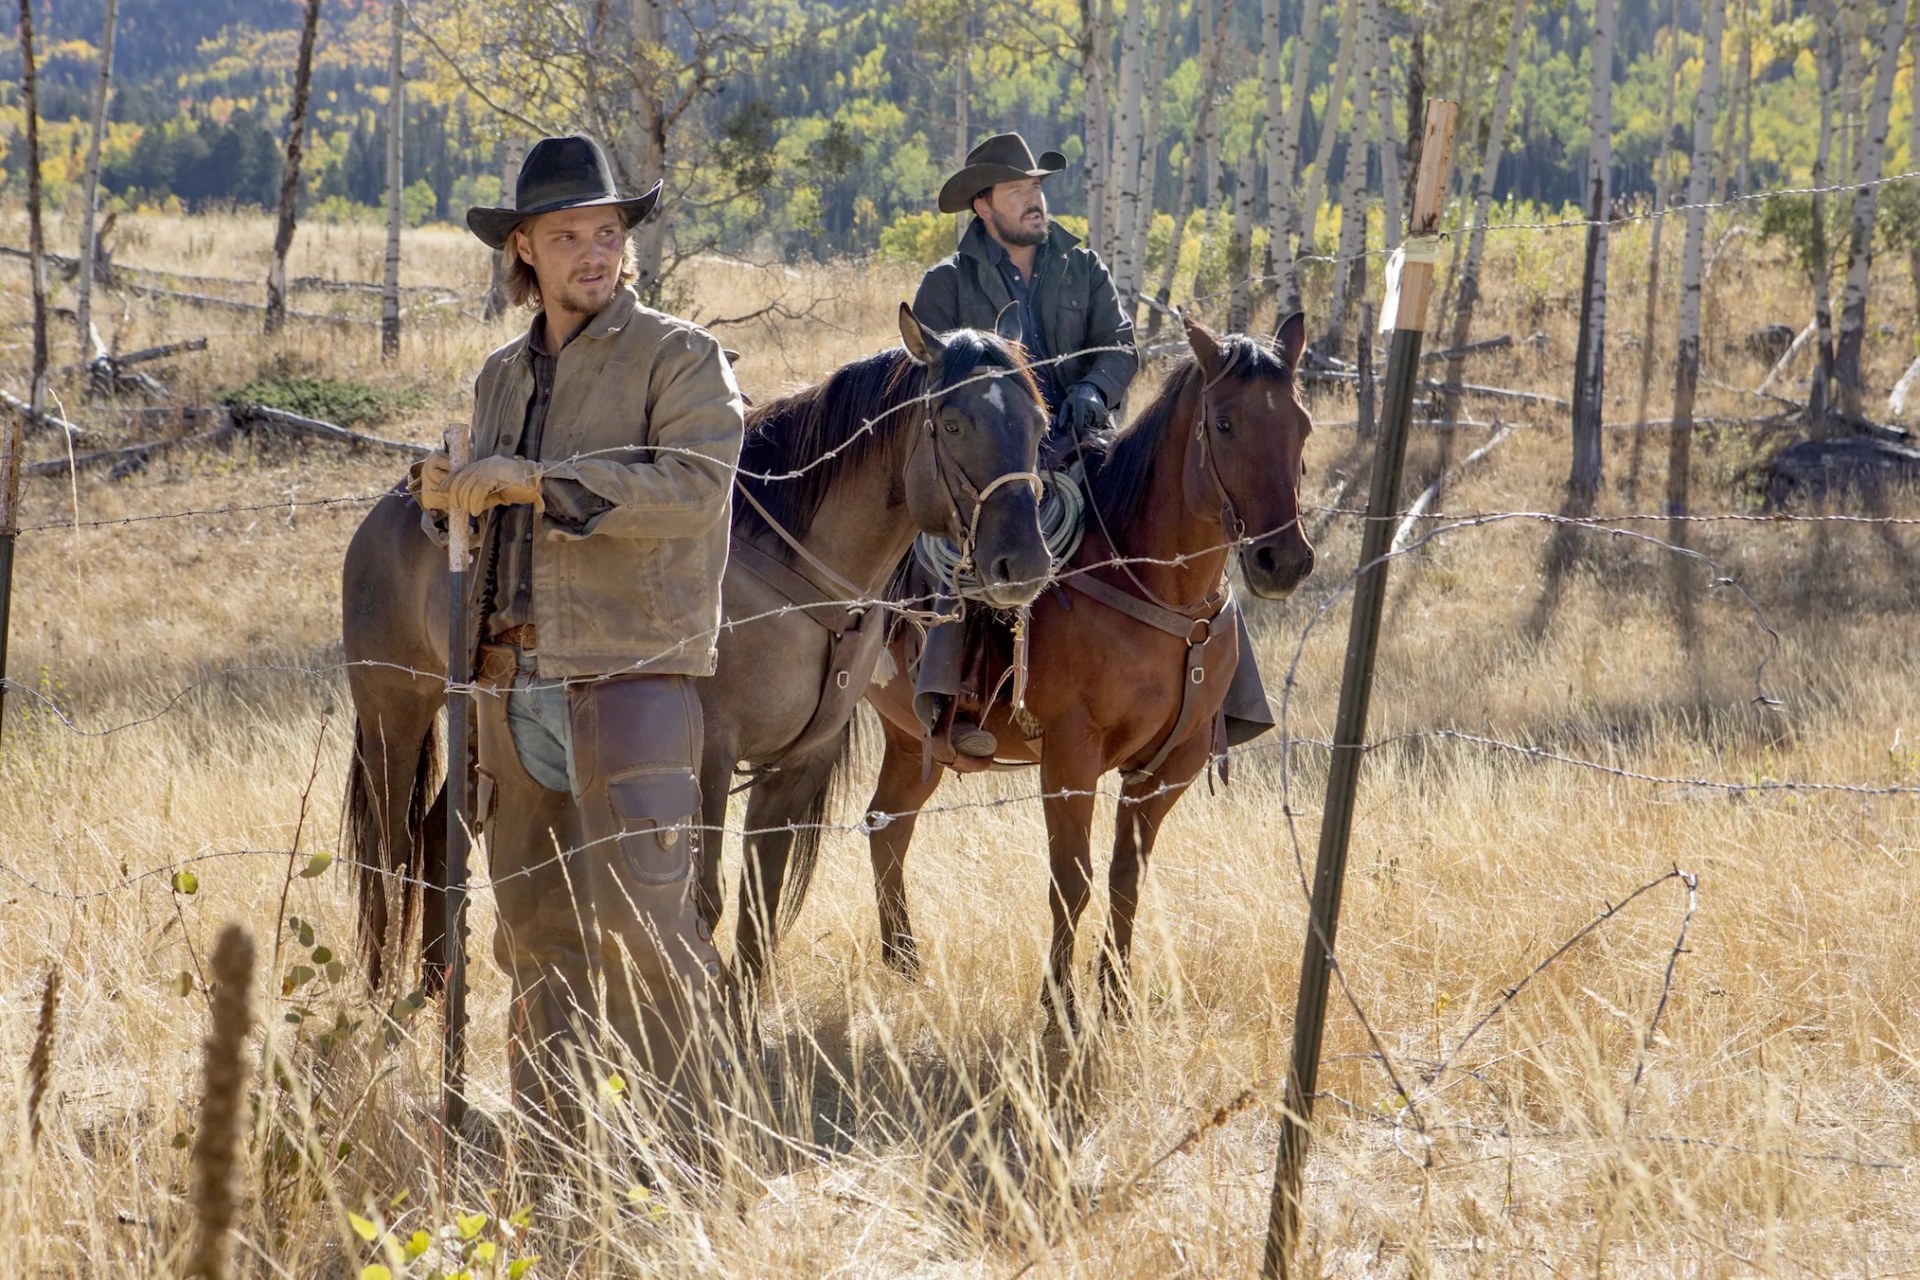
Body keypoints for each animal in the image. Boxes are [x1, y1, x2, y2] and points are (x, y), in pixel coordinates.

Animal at [336, 303, 1044, 997]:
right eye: (952, 423)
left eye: (1038, 424)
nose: (1023, 564)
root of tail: (392, 508)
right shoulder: (706, 759)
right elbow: (702, 900)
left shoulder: (797, 767)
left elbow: (760, 908)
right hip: (394, 715)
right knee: (390, 849)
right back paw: (384, 992)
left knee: (437, 833)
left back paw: (436, 983)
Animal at [737, 314, 1320, 1036]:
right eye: (1225, 422)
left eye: (1301, 424)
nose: (1282, 560)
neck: (1154, 587)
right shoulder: (1071, 756)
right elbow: (1072, 881)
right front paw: (1059, 1008)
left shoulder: (1171, 765)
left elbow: (1127, 877)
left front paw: (1116, 1001)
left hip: (910, 737)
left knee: (887, 826)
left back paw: (905, 963)